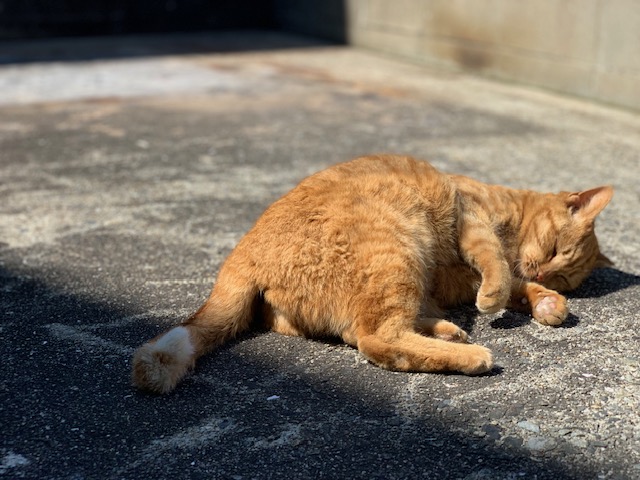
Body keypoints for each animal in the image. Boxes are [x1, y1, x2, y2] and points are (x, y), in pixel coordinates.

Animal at [132, 155, 612, 394]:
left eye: (564, 276)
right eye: (554, 249)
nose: (545, 271)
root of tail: (242, 255)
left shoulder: (464, 276)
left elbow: (516, 284)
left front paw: (547, 302)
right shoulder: (470, 218)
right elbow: (495, 265)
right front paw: (502, 293)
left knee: (363, 331)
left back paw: (448, 331)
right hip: (396, 251)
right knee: (377, 339)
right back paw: (471, 354)